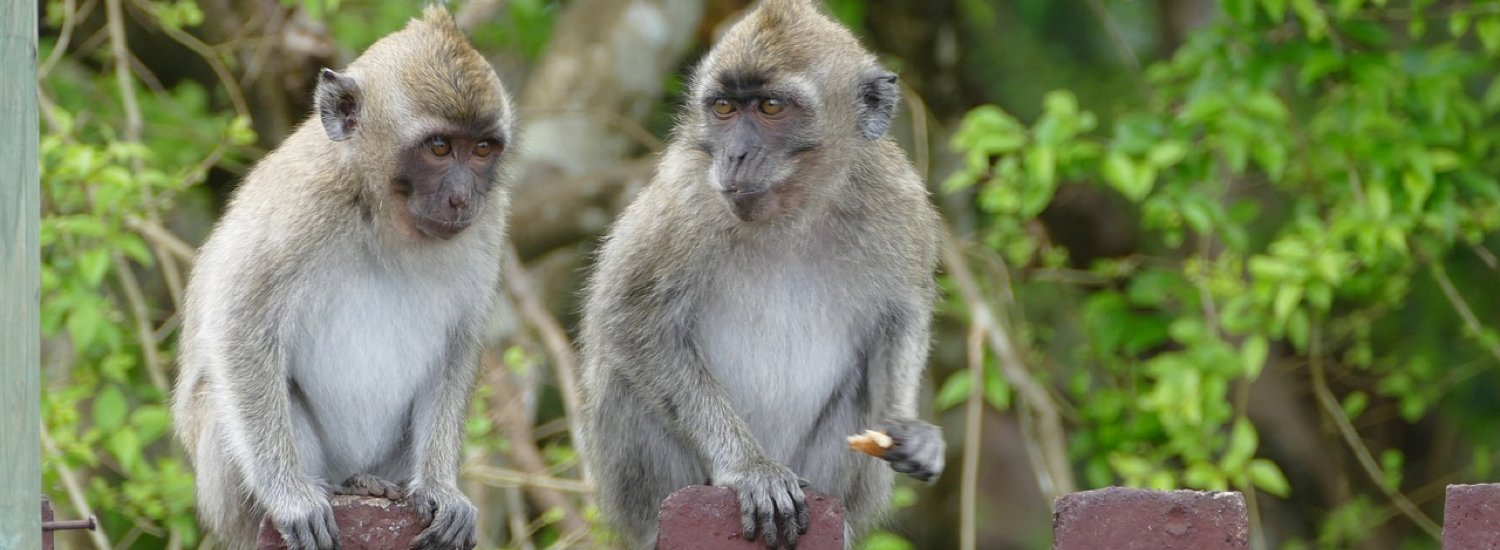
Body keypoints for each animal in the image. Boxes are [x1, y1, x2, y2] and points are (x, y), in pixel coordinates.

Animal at [169, 8, 513, 550]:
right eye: (439, 147)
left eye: (482, 149)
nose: (462, 197)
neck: (381, 208)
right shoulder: (300, 202)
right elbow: (239, 325)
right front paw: (291, 497)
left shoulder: (490, 218)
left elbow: (459, 341)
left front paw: (441, 488)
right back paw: (330, 488)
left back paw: (373, 484)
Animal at [578, 1, 946, 548]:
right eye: (724, 109)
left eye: (771, 108)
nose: (735, 155)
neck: (794, 210)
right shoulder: (684, 199)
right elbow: (627, 322)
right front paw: (750, 468)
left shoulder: (899, 199)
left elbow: (900, 320)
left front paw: (908, 429)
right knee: (624, 378)